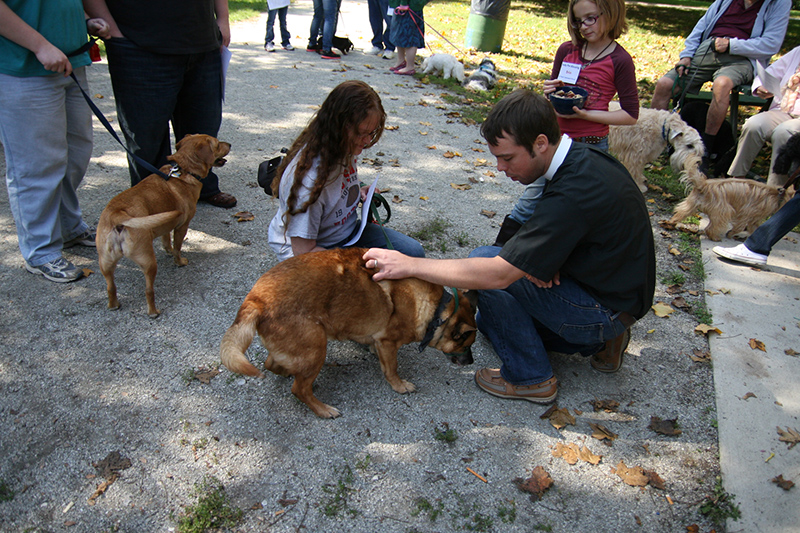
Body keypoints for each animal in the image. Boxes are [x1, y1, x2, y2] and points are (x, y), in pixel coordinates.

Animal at [96, 133, 231, 316]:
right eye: (217, 144)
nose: (229, 144)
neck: (183, 170)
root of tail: (118, 215)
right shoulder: (182, 227)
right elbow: (178, 247)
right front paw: (179, 262)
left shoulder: (166, 224)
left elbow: (166, 241)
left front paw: (168, 251)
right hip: (148, 262)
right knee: (148, 291)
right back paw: (153, 312)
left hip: (106, 263)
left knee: (110, 287)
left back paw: (113, 305)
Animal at [219, 247, 478, 418]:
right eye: (466, 345)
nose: (471, 362)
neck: (438, 312)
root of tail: (256, 300)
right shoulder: (388, 342)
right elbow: (392, 369)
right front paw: (399, 385)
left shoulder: (378, 340)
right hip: (317, 346)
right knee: (299, 389)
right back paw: (323, 409)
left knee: (272, 364)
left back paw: (288, 372)